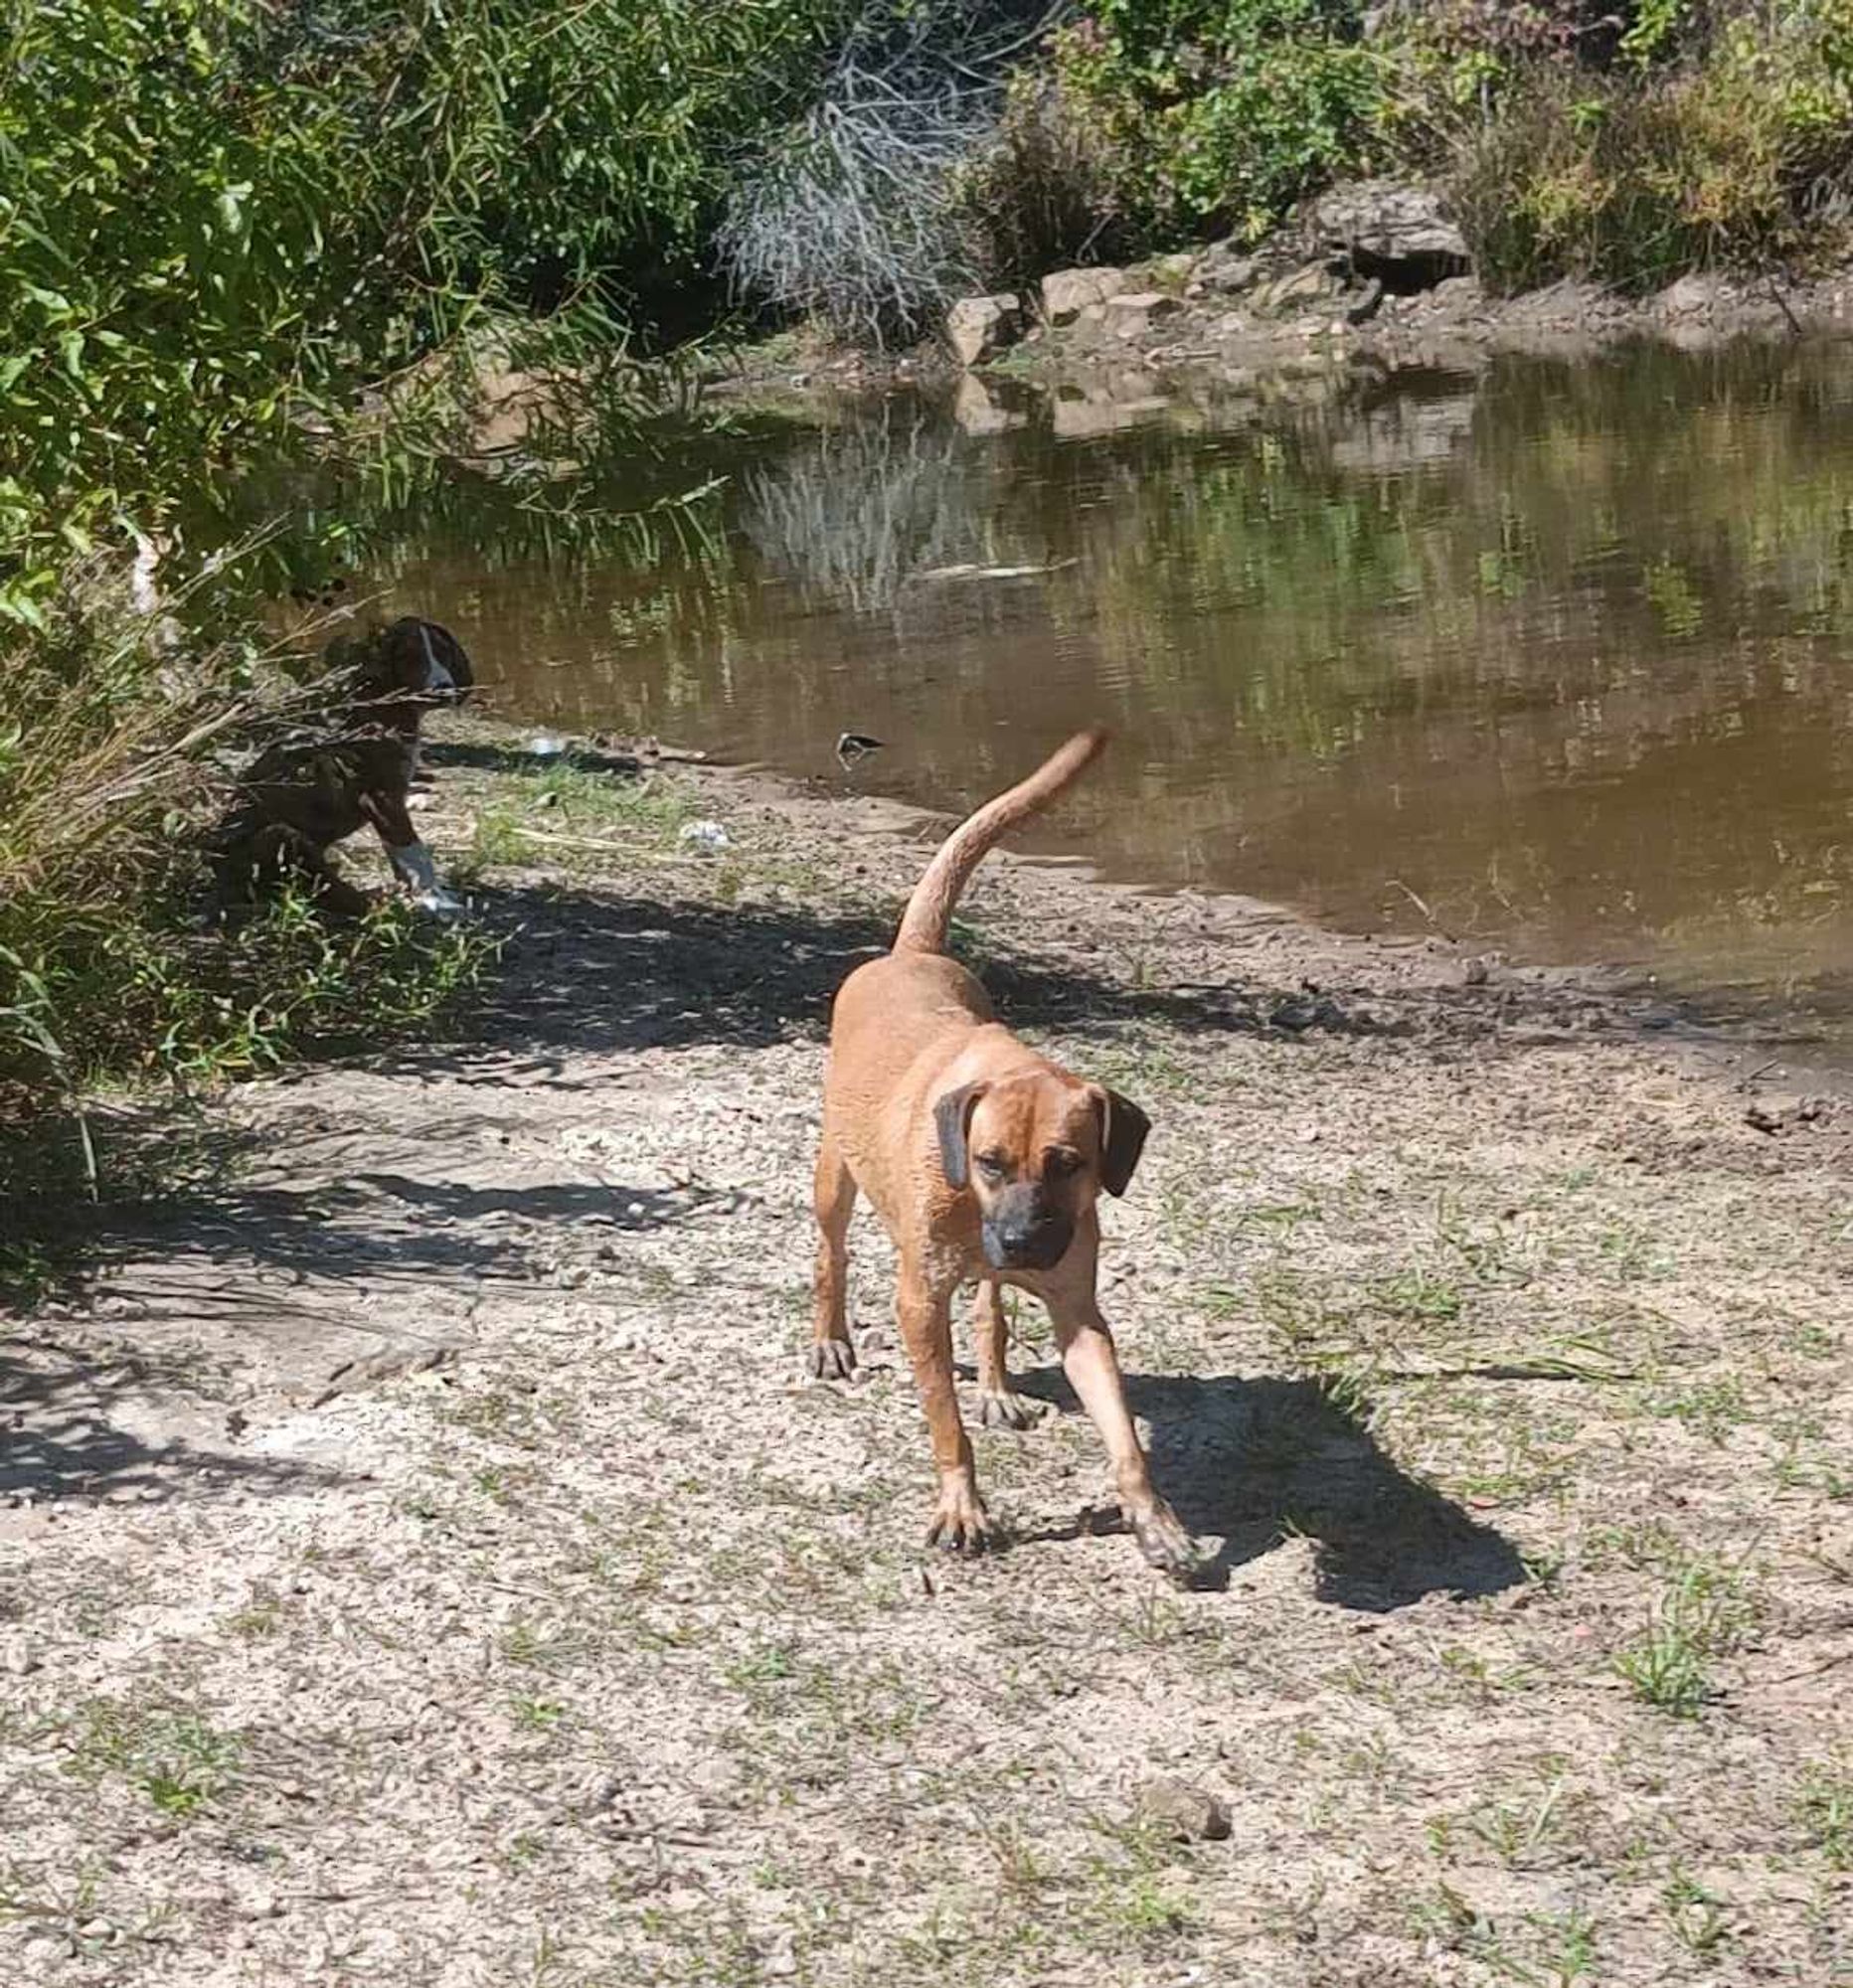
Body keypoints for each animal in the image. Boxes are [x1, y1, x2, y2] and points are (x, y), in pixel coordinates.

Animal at [815, 732, 1201, 1582]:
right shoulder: (919, 1304)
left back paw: (994, 1381)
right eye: (988, 1161)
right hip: (833, 1177)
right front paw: (962, 1507)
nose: (1023, 1240)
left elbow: (1122, 1430)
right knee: (830, 1255)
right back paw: (829, 1338)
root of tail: (911, 951)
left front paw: (1154, 1519)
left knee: (990, 1305)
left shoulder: (1080, 1314)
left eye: (1070, 1164)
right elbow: (945, 1424)